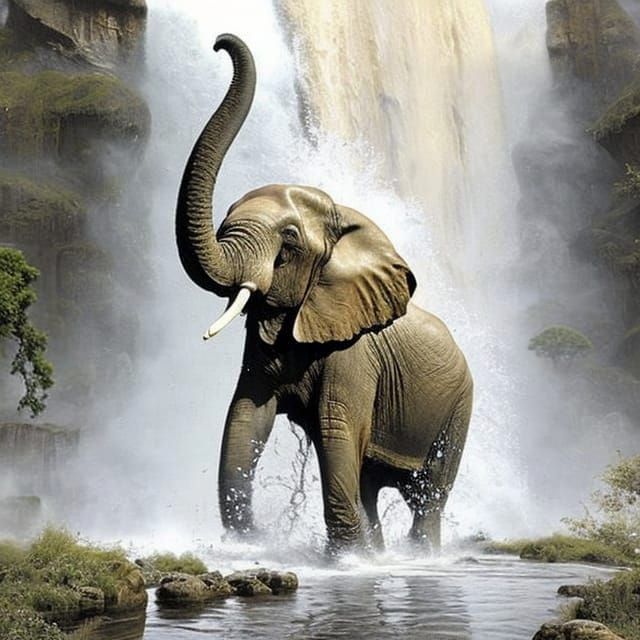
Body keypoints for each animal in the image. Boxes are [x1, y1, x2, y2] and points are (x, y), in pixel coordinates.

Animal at [175, 33, 473, 553]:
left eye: (289, 242)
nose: (219, 43)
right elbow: (247, 415)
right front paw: (252, 544)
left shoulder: (355, 352)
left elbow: (336, 428)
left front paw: (345, 561)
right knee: (371, 480)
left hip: (460, 404)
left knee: (429, 492)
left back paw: (416, 554)